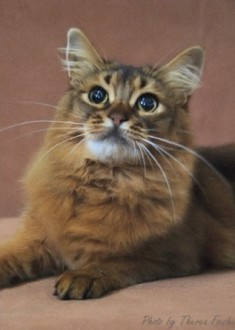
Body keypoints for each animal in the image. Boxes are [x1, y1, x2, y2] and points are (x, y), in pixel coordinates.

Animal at [0, 27, 235, 300]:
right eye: (97, 95)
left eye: (147, 103)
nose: (117, 117)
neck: (102, 182)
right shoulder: (36, 238)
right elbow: (8, 254)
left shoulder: (173, 255)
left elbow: (115, 260)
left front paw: (82, 274)